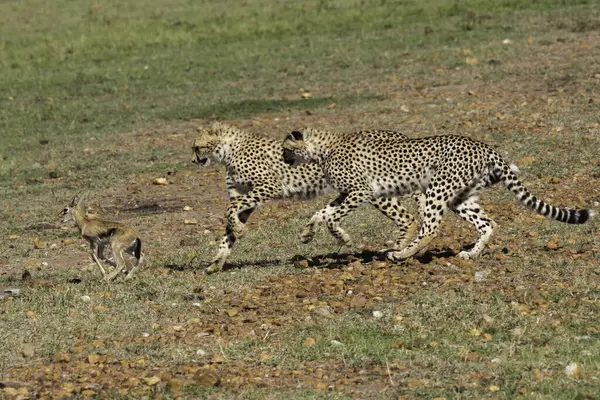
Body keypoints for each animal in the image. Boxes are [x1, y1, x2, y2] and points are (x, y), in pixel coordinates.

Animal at [192, 120, 418, 274]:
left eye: (197, 147)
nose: (193, 160)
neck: (230, 150)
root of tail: (395, 134)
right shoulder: (244, 196)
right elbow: (228, 231)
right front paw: (217, 262)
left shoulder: (270, 186)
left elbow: (230, 210)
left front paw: (239, 230)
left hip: (376, 191)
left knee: (408, 218)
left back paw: (398, 251)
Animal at [282, 126, 596, 260]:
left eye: (286, 147)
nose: (284, 160)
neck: (323, 148)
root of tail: (482, 145)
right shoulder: (348, 192)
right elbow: (322, 211)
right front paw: (307, 233)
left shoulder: (361, 191)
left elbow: (332, 217)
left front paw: (342, 238)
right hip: (460, 197)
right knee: (488, 223)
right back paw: (472, 253)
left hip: (437, 189)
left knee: (429, 226)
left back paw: (402, 253)